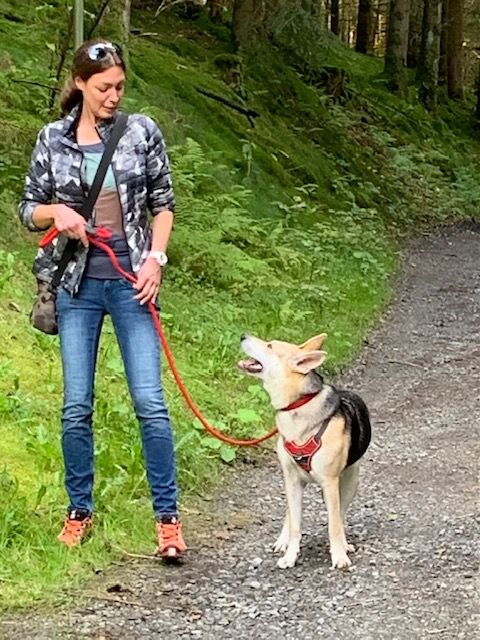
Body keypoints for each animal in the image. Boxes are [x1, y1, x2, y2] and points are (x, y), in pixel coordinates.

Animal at [237, 332, 372, 568]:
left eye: (270, 346)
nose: (243, 335)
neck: (297, 406)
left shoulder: (330, 482)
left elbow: (335, 524)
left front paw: (339, 554)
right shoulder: (291, 480)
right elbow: (295, 524)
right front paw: (290, 555)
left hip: (349, 481)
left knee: (340, 514)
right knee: (290, 514)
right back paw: (283, 540)